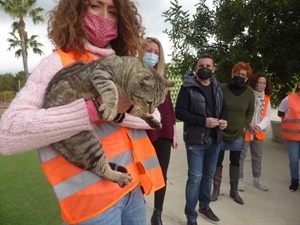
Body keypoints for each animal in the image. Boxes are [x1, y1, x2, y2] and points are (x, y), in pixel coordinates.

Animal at [42, 55, 173, 188]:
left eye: (158, 103)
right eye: (149, 102)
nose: (152, 110)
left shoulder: (130, 105)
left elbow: (138, 111)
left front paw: (153, 120)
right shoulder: (101, 73)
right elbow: (111, 90)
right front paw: (110, 107)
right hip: (88, 142)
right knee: (99, 167)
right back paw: (120, 177)